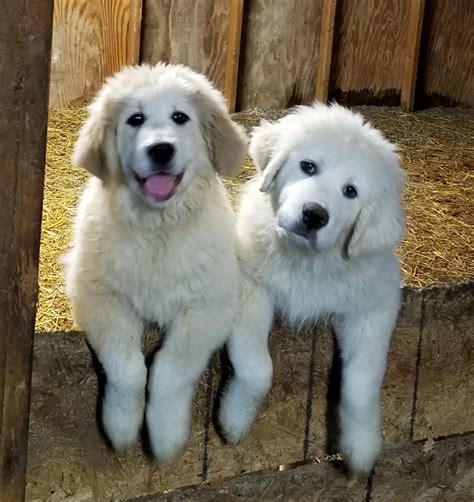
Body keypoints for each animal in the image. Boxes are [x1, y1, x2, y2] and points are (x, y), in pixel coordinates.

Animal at [66, 62, 248, 462]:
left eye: (180, 117)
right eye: (135, 119)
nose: (161, 149)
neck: (157, 230)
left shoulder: (209, 308)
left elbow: (170, 370)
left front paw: (165, 437)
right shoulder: (99, 296)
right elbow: (126, 367)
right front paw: (121, 427)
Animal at [220, 103, 406, 474]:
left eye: (350, 191)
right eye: (308, 166)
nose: (314, 215)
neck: (306, 261)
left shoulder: (376, 306)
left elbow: (361, 383)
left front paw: (361, 449)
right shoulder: (250, 286)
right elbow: (256, 368)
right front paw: (234, 419)